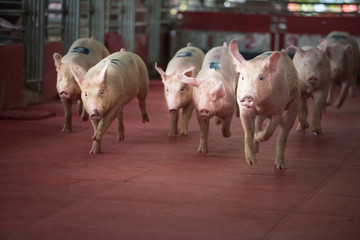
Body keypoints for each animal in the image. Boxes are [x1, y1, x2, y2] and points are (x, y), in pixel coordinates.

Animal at [229, 39, 300, 170]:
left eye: (261, 78)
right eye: (243, 77)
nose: (247, 97)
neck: (260, 105)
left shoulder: (278, 110)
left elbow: (269, 131)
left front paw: (259, 136)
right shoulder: (244, 111)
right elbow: (248, 134)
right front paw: (251, 162)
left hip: (295, 102)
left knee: (283, 135)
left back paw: (279, 166)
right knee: (258, 123)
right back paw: (256, 148)